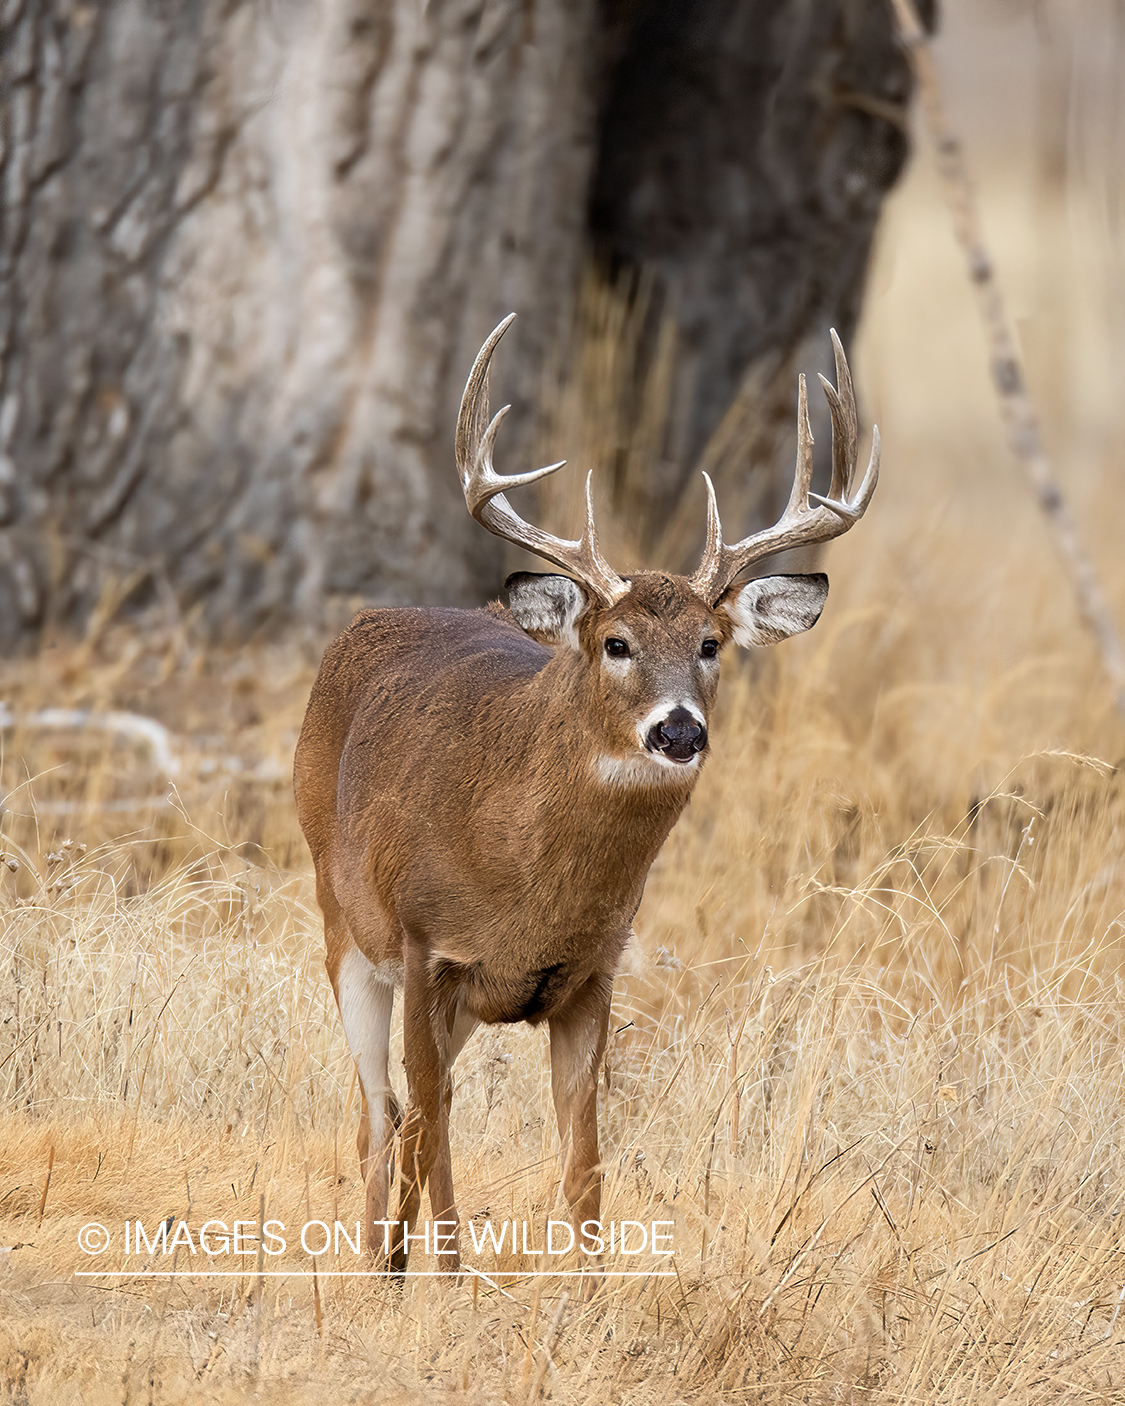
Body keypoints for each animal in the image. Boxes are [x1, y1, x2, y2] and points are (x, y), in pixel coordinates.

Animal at [292, 313, 877, 1282]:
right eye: (615, 642)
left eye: (711, 642)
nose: (678, 731)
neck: (521, 874)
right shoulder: (423, 945)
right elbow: (434, 1130)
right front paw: (449, 1282)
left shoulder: (591, 972)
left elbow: (583, 1161)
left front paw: (588, 1290)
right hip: (343, 928)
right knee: (384, 1116)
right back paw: (381, 1265)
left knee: (406, 1113)